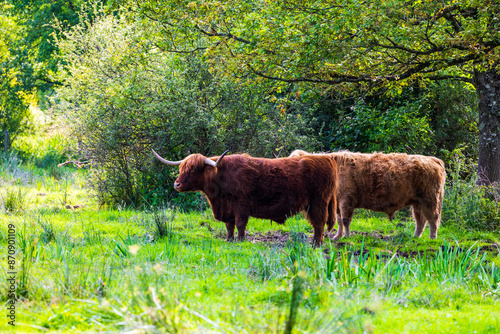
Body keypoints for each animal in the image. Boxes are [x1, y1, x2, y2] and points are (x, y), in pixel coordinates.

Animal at [153, 150, 336, 244]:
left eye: (192, 169)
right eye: (181, 168)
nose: (176, 184)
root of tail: (326, 158)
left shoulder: (241, 205)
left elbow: (240, 224)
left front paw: (240, 241)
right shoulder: (226, 209)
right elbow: (229, 226)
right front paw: (229, 240)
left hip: (318, 201)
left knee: (319, 223)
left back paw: (316, 244)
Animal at [290, 149, 446, 240]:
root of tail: (433, 159)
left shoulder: (346, 200)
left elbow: (345, 220)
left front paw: (346, 236)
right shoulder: (339, 202)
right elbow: (340, 220)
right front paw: (337, 236)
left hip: (430, 199)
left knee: (433, 219)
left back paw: (432, 238)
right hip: (417, 202)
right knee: (420, 221)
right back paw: (415, 237)